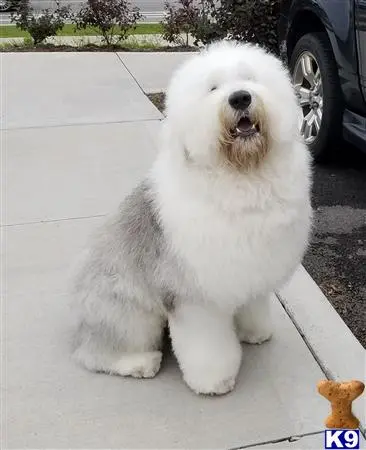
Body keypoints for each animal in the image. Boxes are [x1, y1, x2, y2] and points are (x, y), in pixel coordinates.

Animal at [73, 40, 312, 396]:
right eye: (212, 88)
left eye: (249, 78)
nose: (240, 97)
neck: (242, 173)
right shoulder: (195, 296)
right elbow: (207, 344)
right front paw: (214, 381)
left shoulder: (251, 266)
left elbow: (253, 303)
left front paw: (255, 333)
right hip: (128, 313)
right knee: (95, 353)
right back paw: (139, 363)